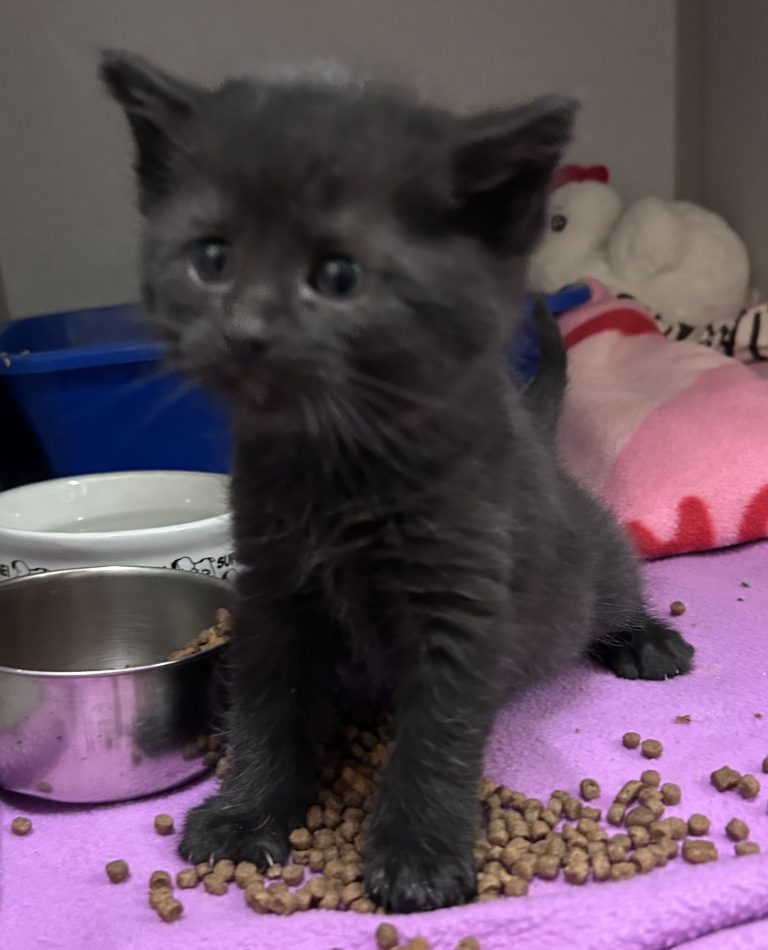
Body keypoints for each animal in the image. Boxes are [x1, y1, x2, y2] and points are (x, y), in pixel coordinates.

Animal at [101, 51, 693, 913]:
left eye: (339, 274)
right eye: (211, 259)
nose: (245, 330)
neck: (338, 464)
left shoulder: (462, 600)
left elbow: (436, 735)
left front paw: (418, 857)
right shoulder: (270, 590)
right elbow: (265, 707)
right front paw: (246, 816)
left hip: (593, 558)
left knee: (614, 588)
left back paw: (646, 638)